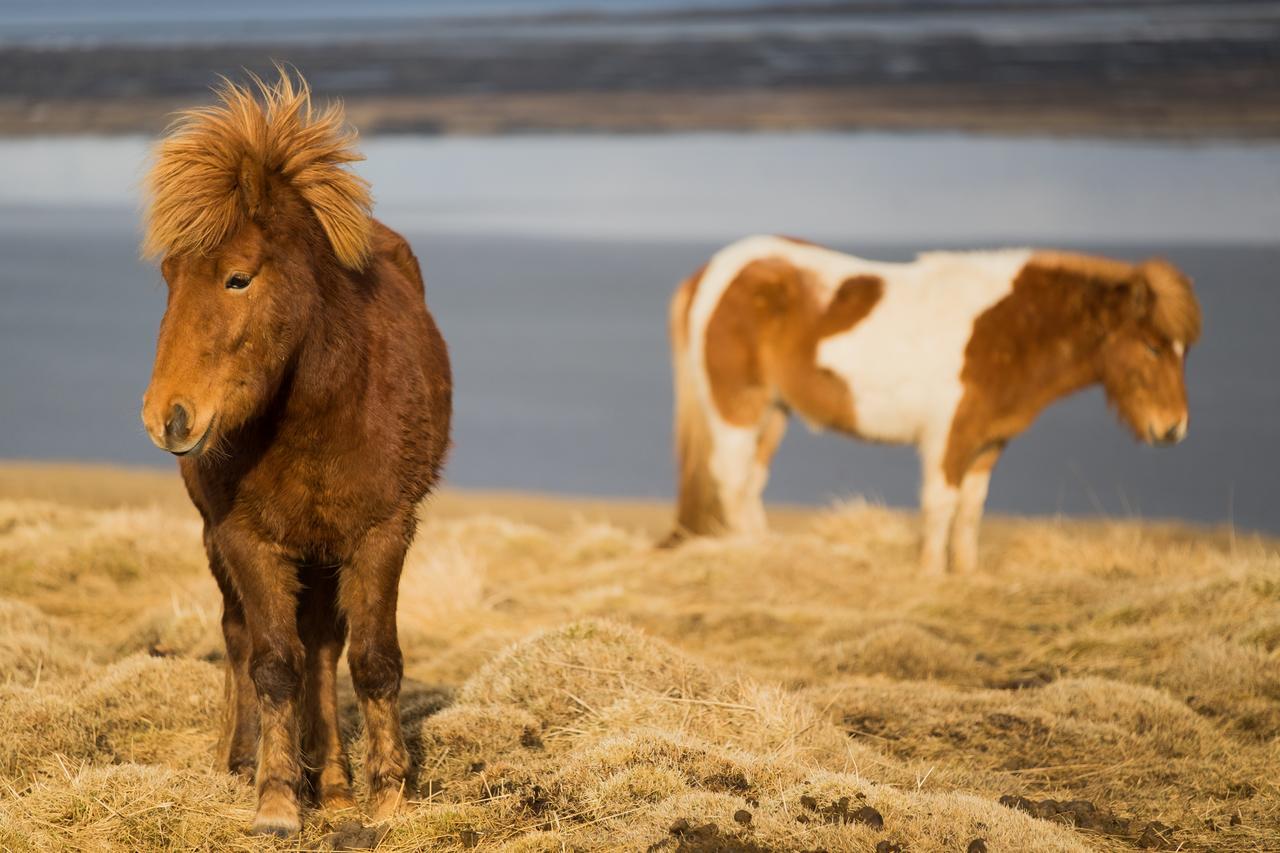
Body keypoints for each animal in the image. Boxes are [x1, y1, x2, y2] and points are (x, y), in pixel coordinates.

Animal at [138, 71, 450, 829]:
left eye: (238, 277)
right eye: (169, 276)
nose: (167, 417)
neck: (317, 412)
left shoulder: (382, 533)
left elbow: (373, 659)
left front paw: (387, 794)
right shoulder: (246, 539)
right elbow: (273, 662)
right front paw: (277, 797)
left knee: (326, 647)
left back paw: (333, 780)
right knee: (243, 635)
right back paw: (242, 758)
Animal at [670, 235, 1198, 573]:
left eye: (1184, 350)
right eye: (1153, 346)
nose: (1172, 428)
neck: (1007, 331)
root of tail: (711, 272)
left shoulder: (989, 440)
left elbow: (971, 509)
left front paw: (965, 575)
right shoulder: (948, 434)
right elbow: (941, 504)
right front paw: (928, 576)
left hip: (775, 413)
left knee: (750, 483)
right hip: (737, 408)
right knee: (731, 479)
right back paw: (748, 556)